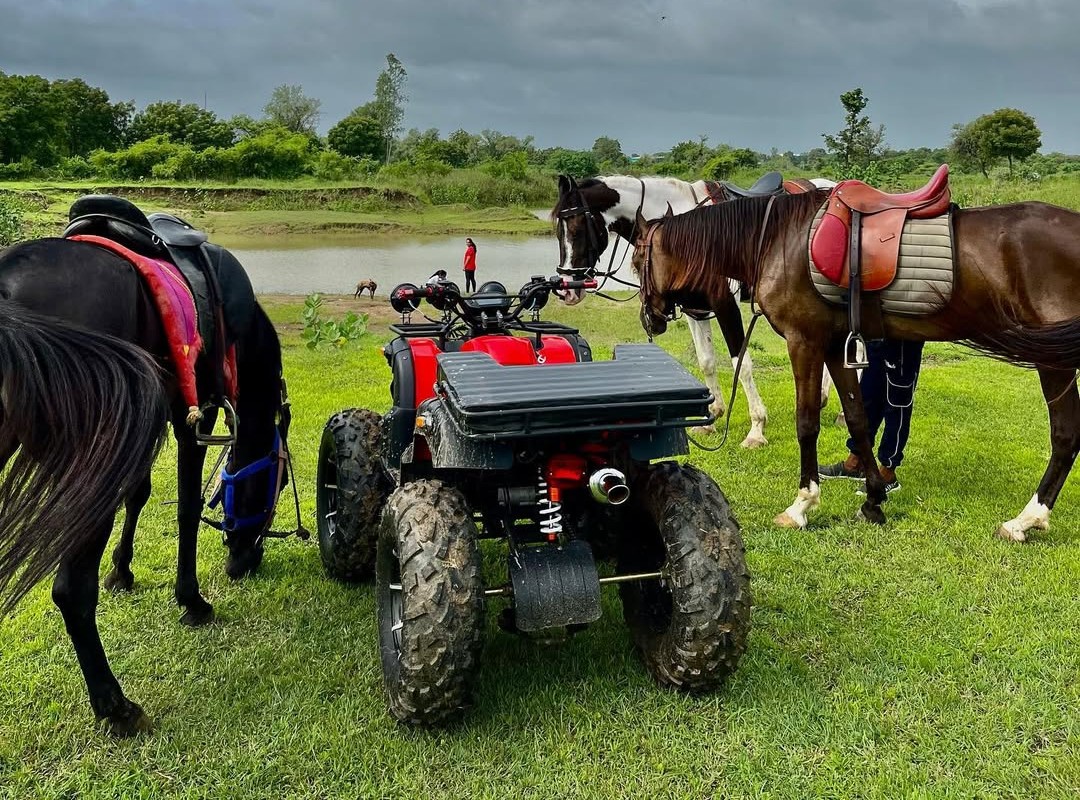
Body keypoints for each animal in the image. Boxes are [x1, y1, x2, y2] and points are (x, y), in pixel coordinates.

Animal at [0, 218, 290, 735]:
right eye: (273, 489)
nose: (243, 562)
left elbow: (138, 494)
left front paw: (122, 571)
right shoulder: (197, 414)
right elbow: (187, 507)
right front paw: (192, 602)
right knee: (71, 591)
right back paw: (115, 706)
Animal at [552, 174, 837, 448]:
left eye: (577, 228)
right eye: (557, 232)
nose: (567, 290)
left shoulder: (724, 304)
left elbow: (741, 363)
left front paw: (756, 430)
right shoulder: (694, 309)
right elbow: (706, 360)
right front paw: (712, 418)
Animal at [629, 179, 1080, 538]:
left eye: (637, 262)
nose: (650, 318)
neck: (778, 238)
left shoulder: (805, 342)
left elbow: (807, 423)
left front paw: (802, 505)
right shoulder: (833, 345)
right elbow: (859, 417)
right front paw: (874, 498)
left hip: (1055, 362)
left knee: (1065, 437)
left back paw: (1026, 520)